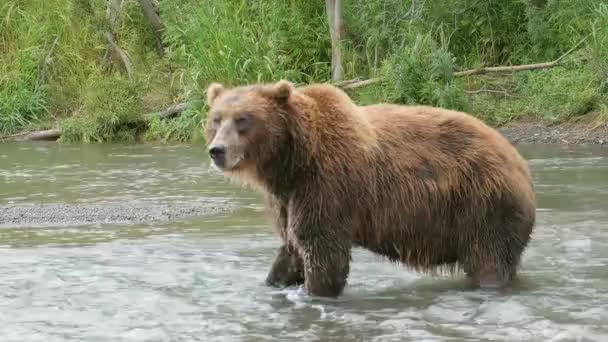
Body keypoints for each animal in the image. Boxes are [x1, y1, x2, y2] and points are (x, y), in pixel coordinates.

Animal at [205, 79, 536, 296]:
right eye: (216, 119)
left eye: (243, 119)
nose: (217, 150)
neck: (293, 161)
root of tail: (519, 163)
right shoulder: (288, 198)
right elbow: (292, 247)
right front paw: (275, 281)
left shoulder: (326, 185)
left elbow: (323, 253)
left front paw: (316, 291)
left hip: (485, 203)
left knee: (490, 260)